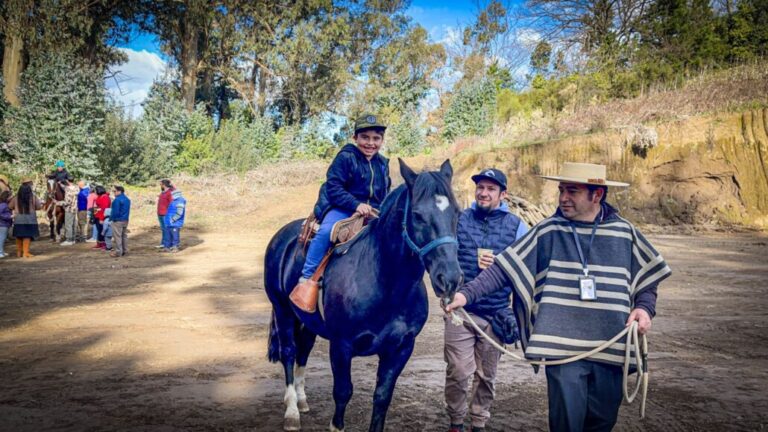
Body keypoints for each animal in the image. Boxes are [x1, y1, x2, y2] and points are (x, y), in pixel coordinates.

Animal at [264, 159, 462, 432]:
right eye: (418, 215)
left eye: (457, 213)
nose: (450, 278)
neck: (386, 285)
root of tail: (282, 237)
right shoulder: (341, 346)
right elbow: (343, 392)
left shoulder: (400, 349)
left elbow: (382, 397)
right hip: (283, 311)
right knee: (290, 352)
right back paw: (292, 411)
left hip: (307, 320)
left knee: (304, 350)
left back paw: (302, 401)